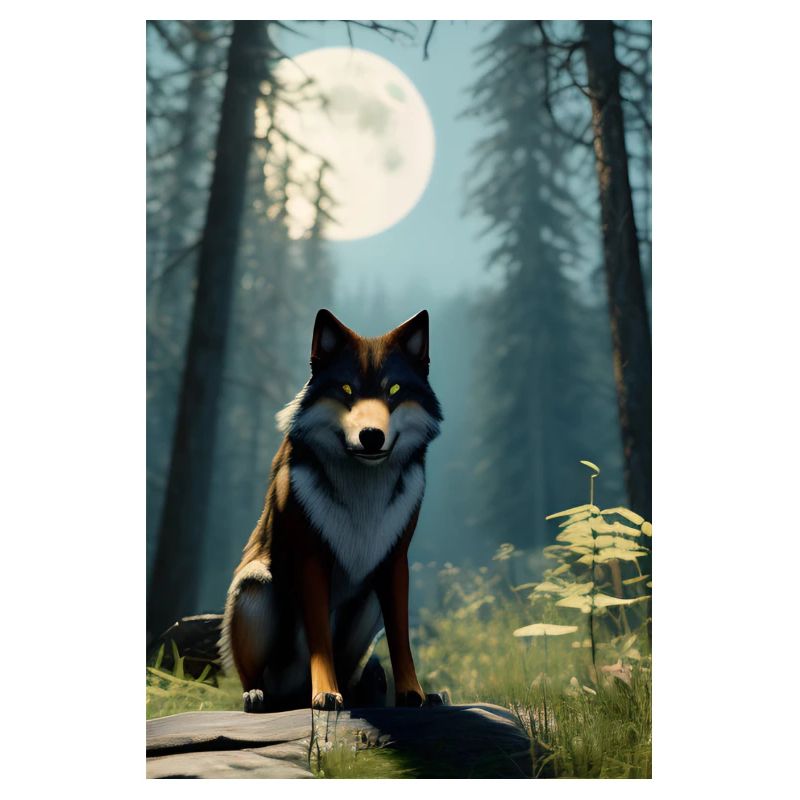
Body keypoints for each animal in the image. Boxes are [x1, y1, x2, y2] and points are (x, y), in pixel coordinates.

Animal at [219, 309, 443, 711]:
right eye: (347, 390)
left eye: (394, 391)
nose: (371, 436)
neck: (363, 488)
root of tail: (289, 692)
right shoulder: (310, 559)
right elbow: (319, 636)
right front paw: (325, 693)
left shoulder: (394, 562)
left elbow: (401, 637)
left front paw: (413, 693)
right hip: (255, 587)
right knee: (255, 675)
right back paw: (259, 695)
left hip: (368, 602)